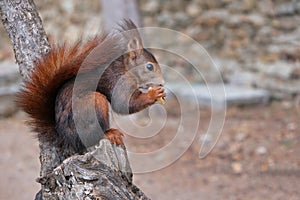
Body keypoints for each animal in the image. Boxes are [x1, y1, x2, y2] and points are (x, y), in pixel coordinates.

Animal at [16, 19, 166, 155]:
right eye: (149, 66)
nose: (162, 83)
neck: (126, 69)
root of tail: (66, 138)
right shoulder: (118, 82)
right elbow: (125, 104)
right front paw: (154, 94)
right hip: (94, 103)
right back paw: (109, 133)